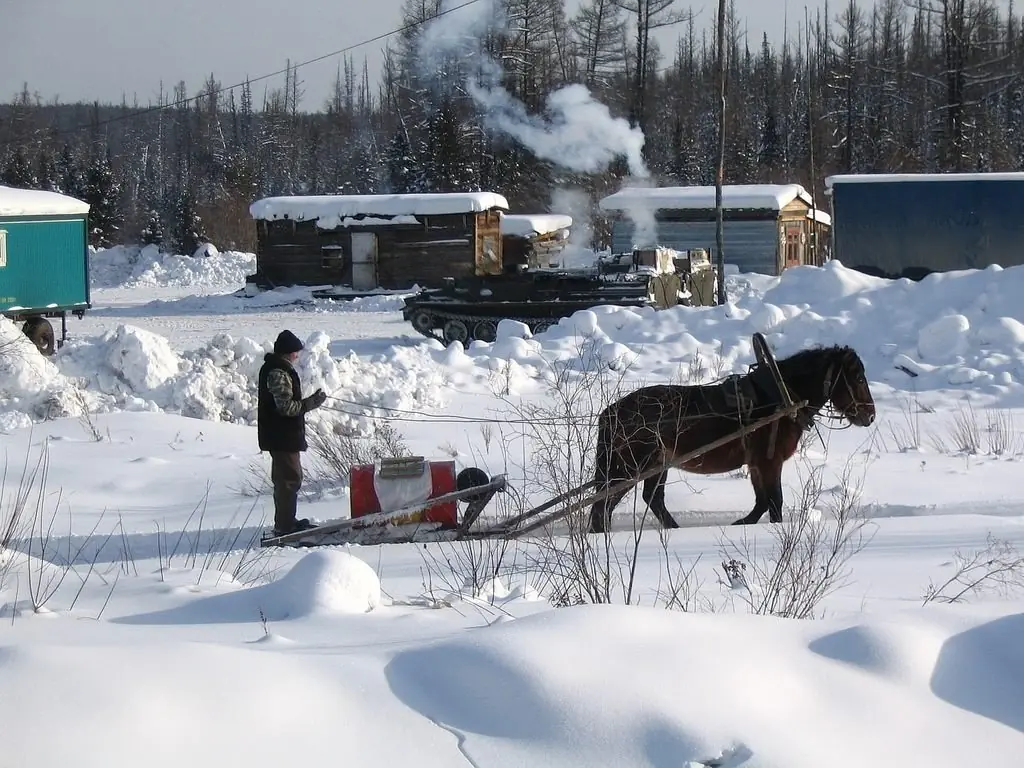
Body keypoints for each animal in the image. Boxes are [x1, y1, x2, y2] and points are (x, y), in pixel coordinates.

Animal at [587, 342, 876, 533]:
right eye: (858, 378)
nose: (870, 416)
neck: (778, 398)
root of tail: (612, 412)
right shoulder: (770, 462)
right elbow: (774, 502)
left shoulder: (758, 464)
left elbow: (762, 502)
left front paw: (742, 523)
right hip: (631, 467)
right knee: (605, 504)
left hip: (655, 465)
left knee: (648, 500)